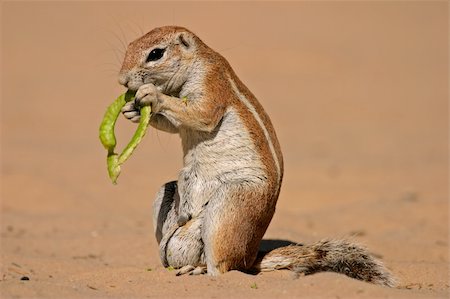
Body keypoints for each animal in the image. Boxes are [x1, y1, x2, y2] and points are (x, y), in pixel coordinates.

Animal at [118, 25, 394, 288]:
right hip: (168, 194)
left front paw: (151, 95)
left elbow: (200, 114)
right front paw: (132, 110)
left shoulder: (211, 85)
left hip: (231, 205)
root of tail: (251, 258)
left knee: (224, 267)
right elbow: (174, 125)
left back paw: (200, 270)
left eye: (156, 54)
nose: (122, 80)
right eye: (129, 46)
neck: (197, 60)